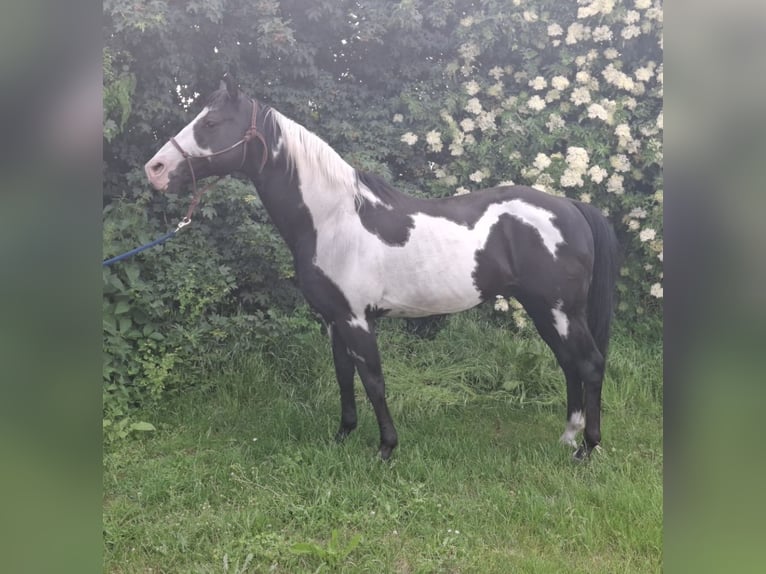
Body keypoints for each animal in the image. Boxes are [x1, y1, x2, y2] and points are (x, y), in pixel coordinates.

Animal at [145, 75, 618, 461]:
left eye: (210, 123)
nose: (156, 169)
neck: (332, 220)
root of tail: (569, 206)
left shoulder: (357, 320)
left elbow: (373, 381)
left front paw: (386, 449)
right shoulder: (333, 320)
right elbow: (344, 378)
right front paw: (342, 436)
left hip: (559, 310)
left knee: (591, 364)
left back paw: (588, 448)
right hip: (545, 310)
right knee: (569, 363)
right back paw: (568, 437)